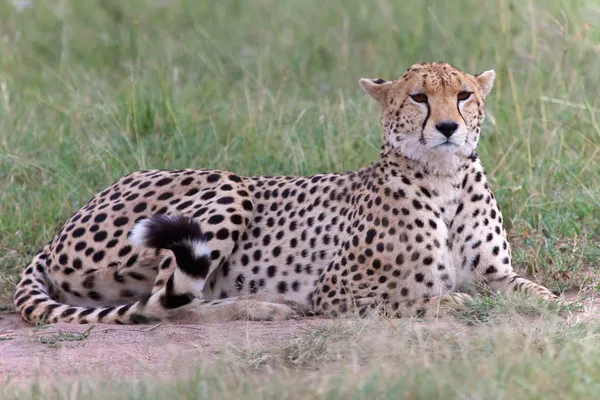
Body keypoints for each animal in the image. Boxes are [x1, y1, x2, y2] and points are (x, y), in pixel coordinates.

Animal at [11, 62, 560, 324]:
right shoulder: (336, 292)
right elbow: (415, 300)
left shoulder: (495, 275)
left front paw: (554, 307)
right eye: (419, 97)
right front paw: (450, 304)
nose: (448, 127)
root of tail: (59, 231)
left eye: (464, 95)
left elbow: (534, 292)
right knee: (161, 307)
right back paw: (263, 307)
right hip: (228, 186)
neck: (443, 178)